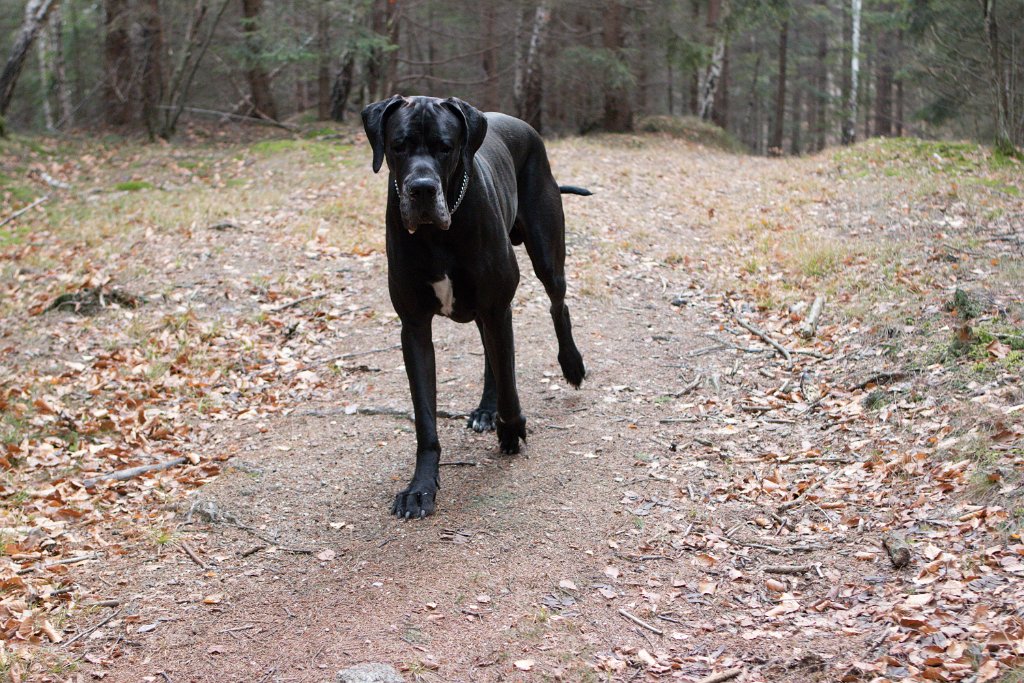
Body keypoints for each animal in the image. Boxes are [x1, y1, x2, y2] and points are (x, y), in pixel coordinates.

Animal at [362, 96, 589, 518]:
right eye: (398, 146)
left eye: (445, 147)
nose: (421, 190)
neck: (437, 234)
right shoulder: (414, 327)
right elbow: (425, 418)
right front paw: (420, 488)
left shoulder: (498, 305)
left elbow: (510, 380)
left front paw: (511, 428)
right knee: (490, 354)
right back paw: (486, 409)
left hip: (546, 255)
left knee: (557, 305)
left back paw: (571, 365)